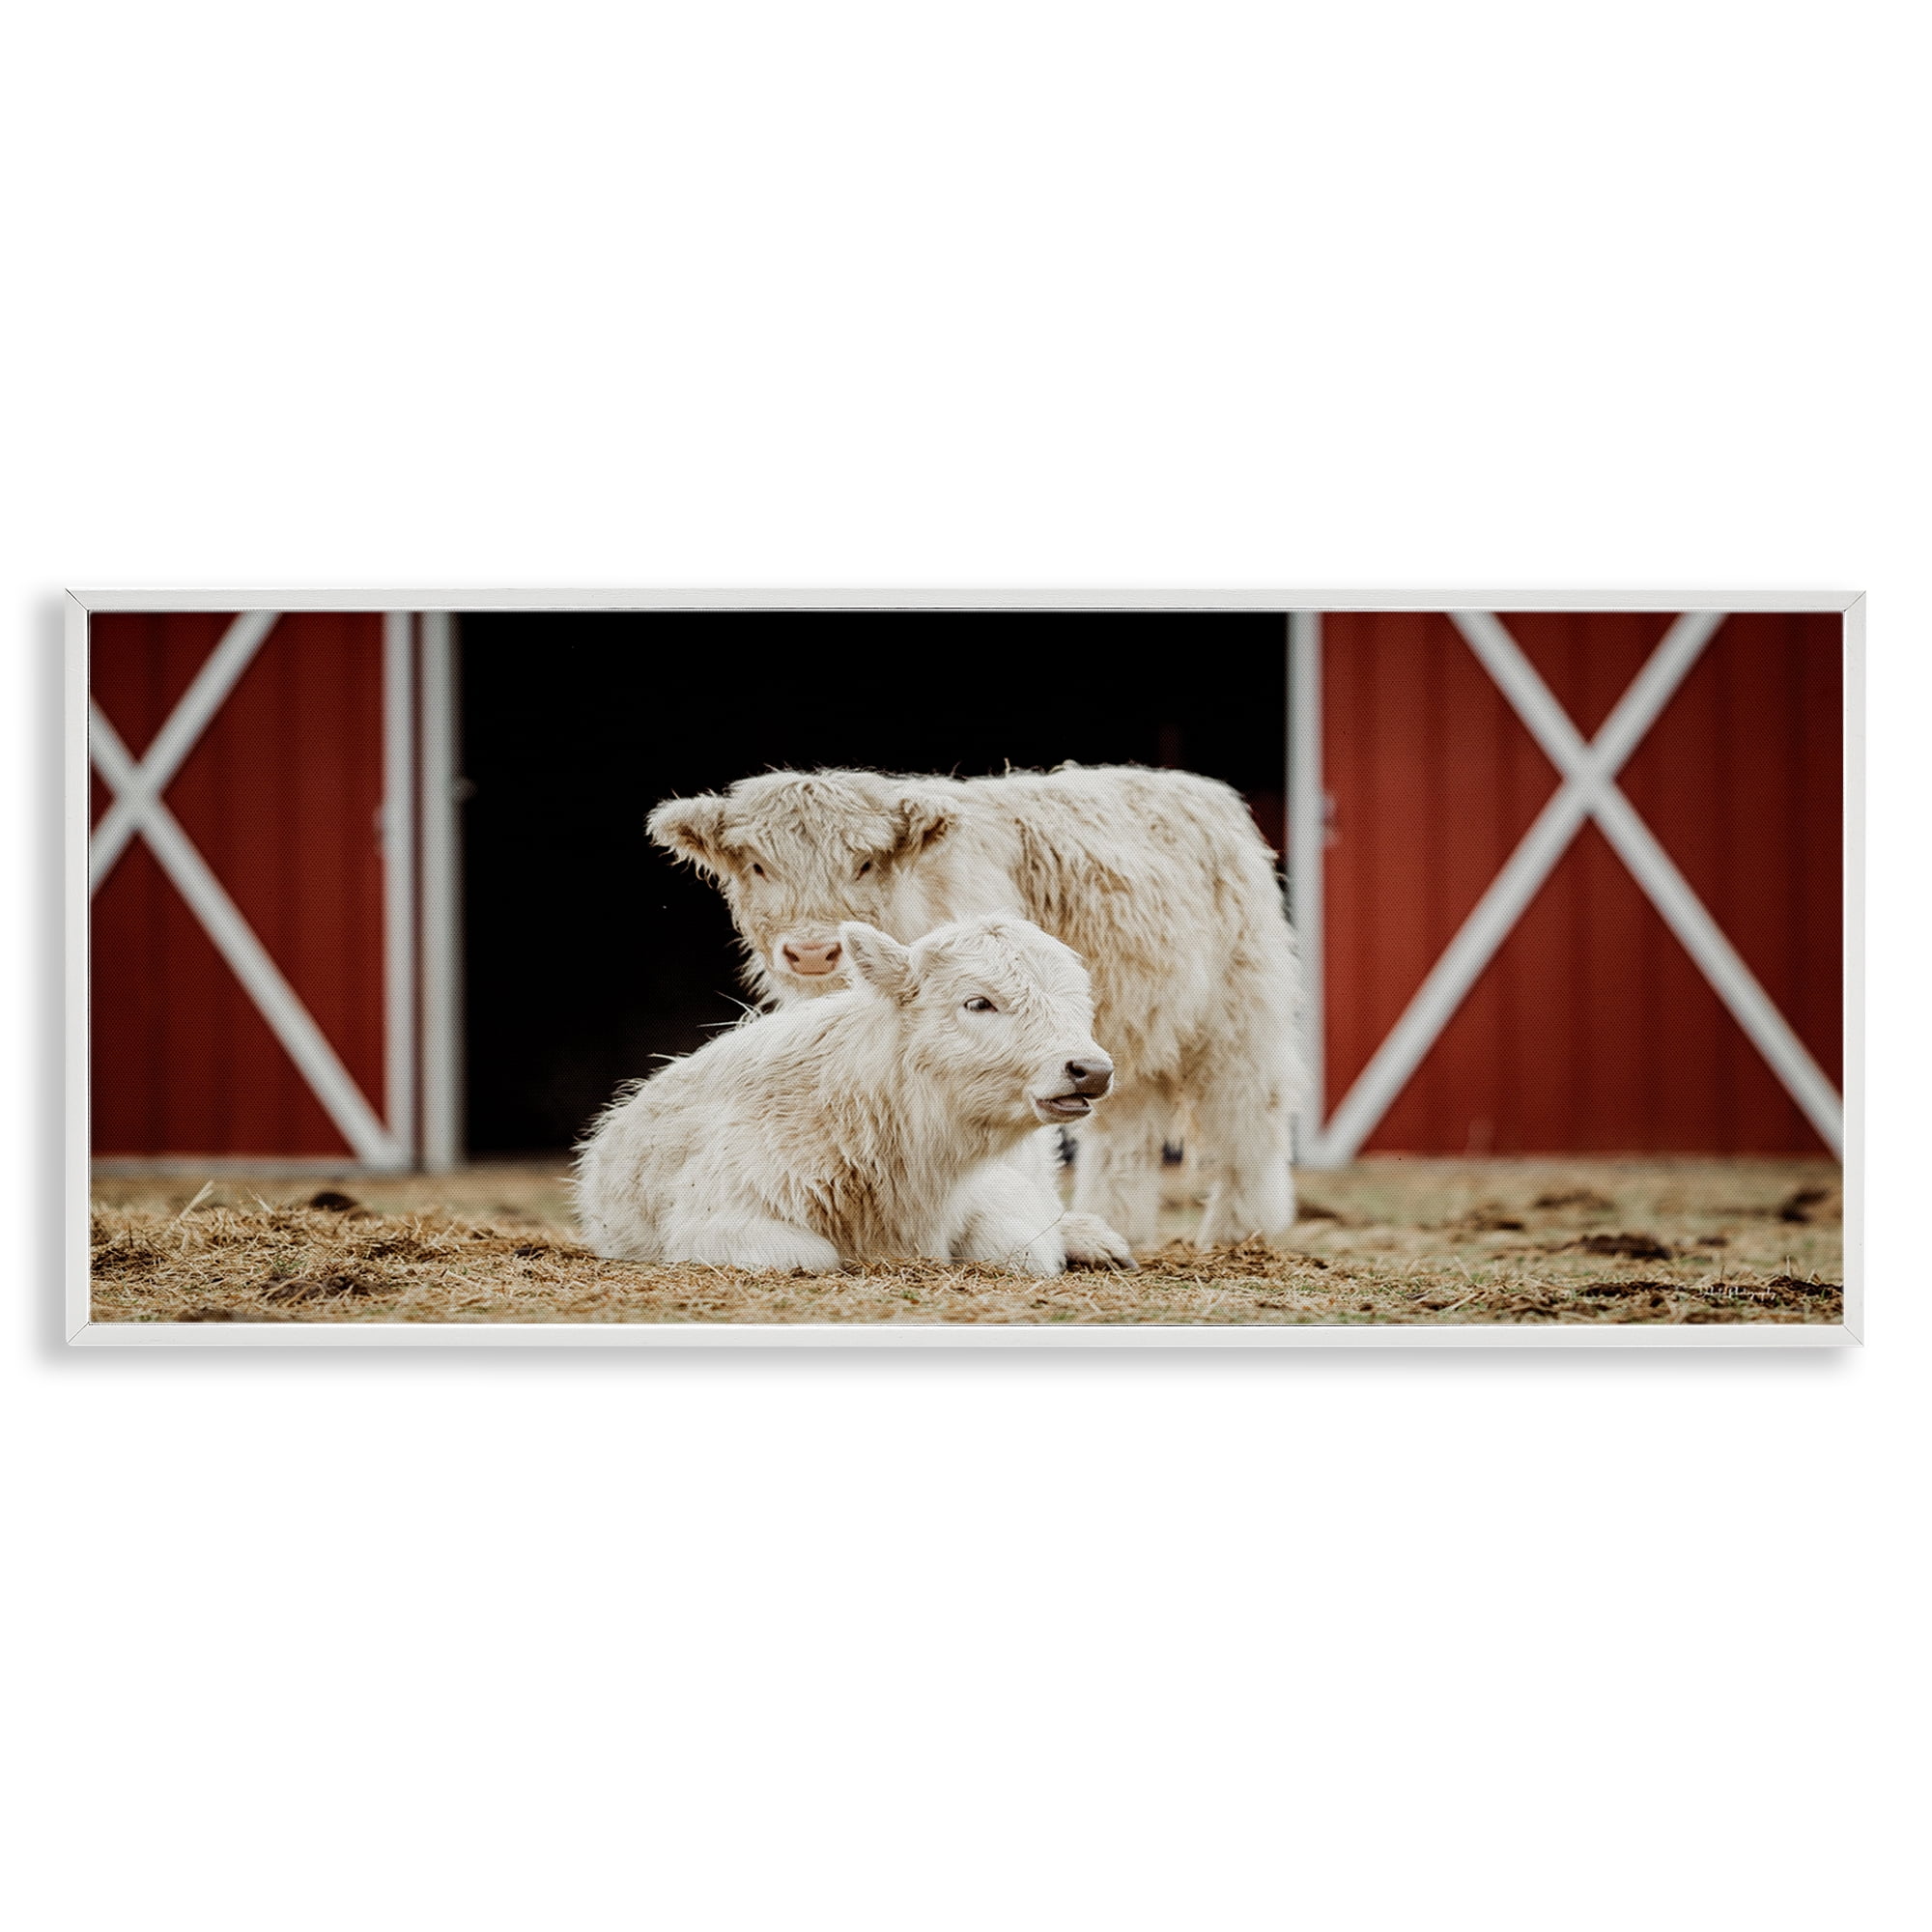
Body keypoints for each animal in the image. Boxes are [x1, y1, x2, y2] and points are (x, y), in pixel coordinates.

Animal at [575, 914, 1137, 1275]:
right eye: (978, 1002)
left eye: (1080, 1003)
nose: (1091, 1070)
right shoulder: (712, 1218)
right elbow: (811, 1257)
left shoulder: (998, 1191)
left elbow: (1023, 1249)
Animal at [647, 764, 1300, 1248]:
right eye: (759, 866)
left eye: (864, 863)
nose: (811, 951)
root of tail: (1198, 788)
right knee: (1125, 1131)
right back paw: (1119, 1224)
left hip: (1238, 1017)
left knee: (1251, 1114)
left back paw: (1242, 1231)